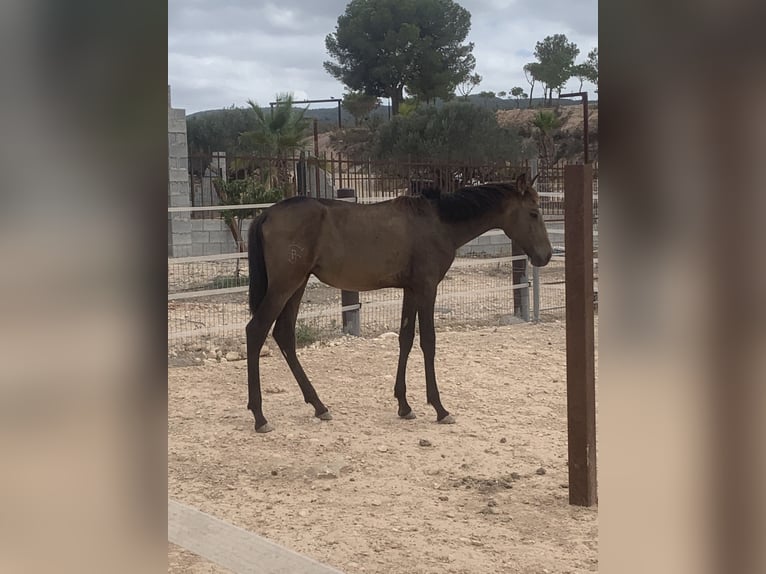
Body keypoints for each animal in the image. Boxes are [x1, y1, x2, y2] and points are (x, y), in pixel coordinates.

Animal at [246, 173, 552, 434]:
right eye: (533, 213)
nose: (546, 256)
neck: (438, 222)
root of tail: (266, 214)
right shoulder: (427, 288)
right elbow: (428, 341)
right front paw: (440, 408)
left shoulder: (411, 290)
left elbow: (405, 338)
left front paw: (404, 405)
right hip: (284, 287)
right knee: (256, 330)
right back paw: (260, 416)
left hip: (296, 287)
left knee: (284, 334)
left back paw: (319, 406)